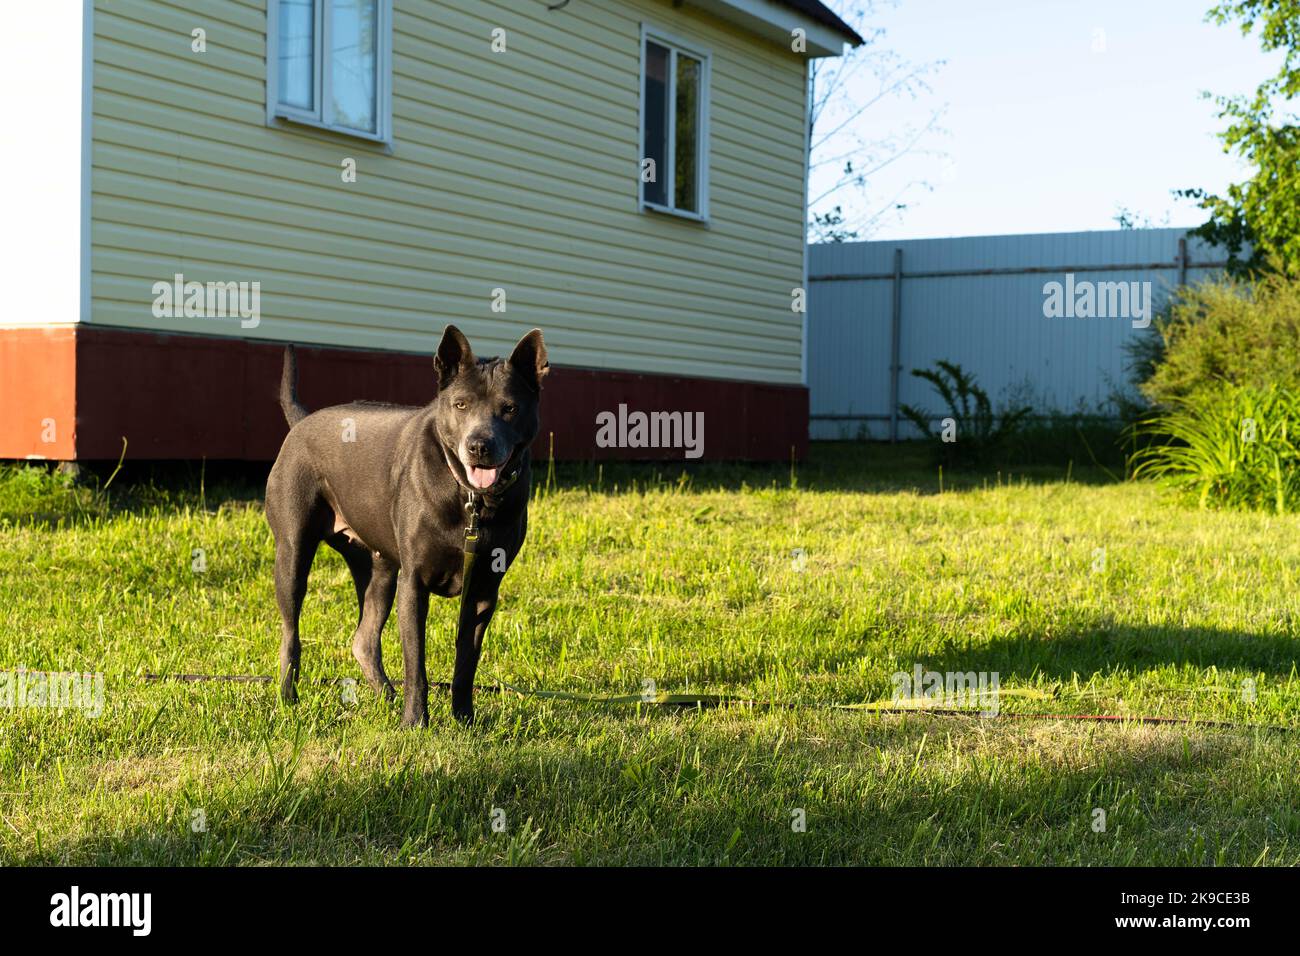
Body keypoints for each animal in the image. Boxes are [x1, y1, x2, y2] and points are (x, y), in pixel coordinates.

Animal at [263, 325, 548, 728]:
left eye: (510, 409)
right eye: (461, 405)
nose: (479, 446)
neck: (471, 499)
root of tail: (302, 421)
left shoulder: (483, 591)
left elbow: (466, 663)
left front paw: (464, 719)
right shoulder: (414, 583)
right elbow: (416, 664)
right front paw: (415, 723)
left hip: (378, 567)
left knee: (364, 639)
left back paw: (385, 697)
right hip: (293, 553)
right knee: (291, 632)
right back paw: (289, 698)